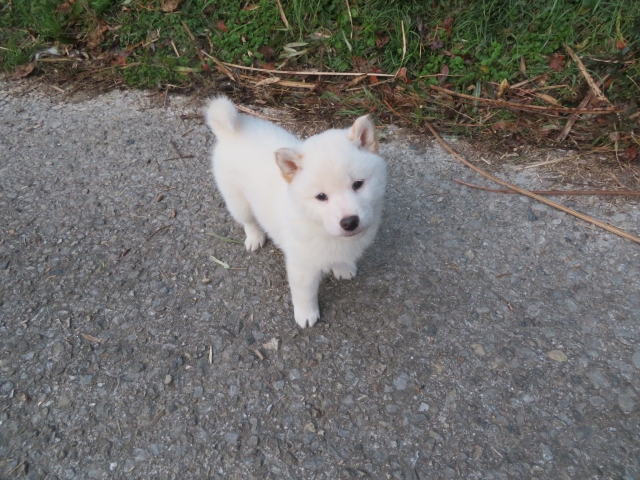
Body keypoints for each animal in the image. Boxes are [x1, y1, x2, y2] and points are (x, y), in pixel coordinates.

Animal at [205, 97, 386, 328]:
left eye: (358, 184)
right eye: (321, 196)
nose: (349, 222)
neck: (317, 225)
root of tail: (232, 130)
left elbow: (340, 258)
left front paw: (342, 267)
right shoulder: (302, 267)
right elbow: (304, 294)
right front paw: (306, 314)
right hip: (237, 200)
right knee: (248, 220)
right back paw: (254, 237)